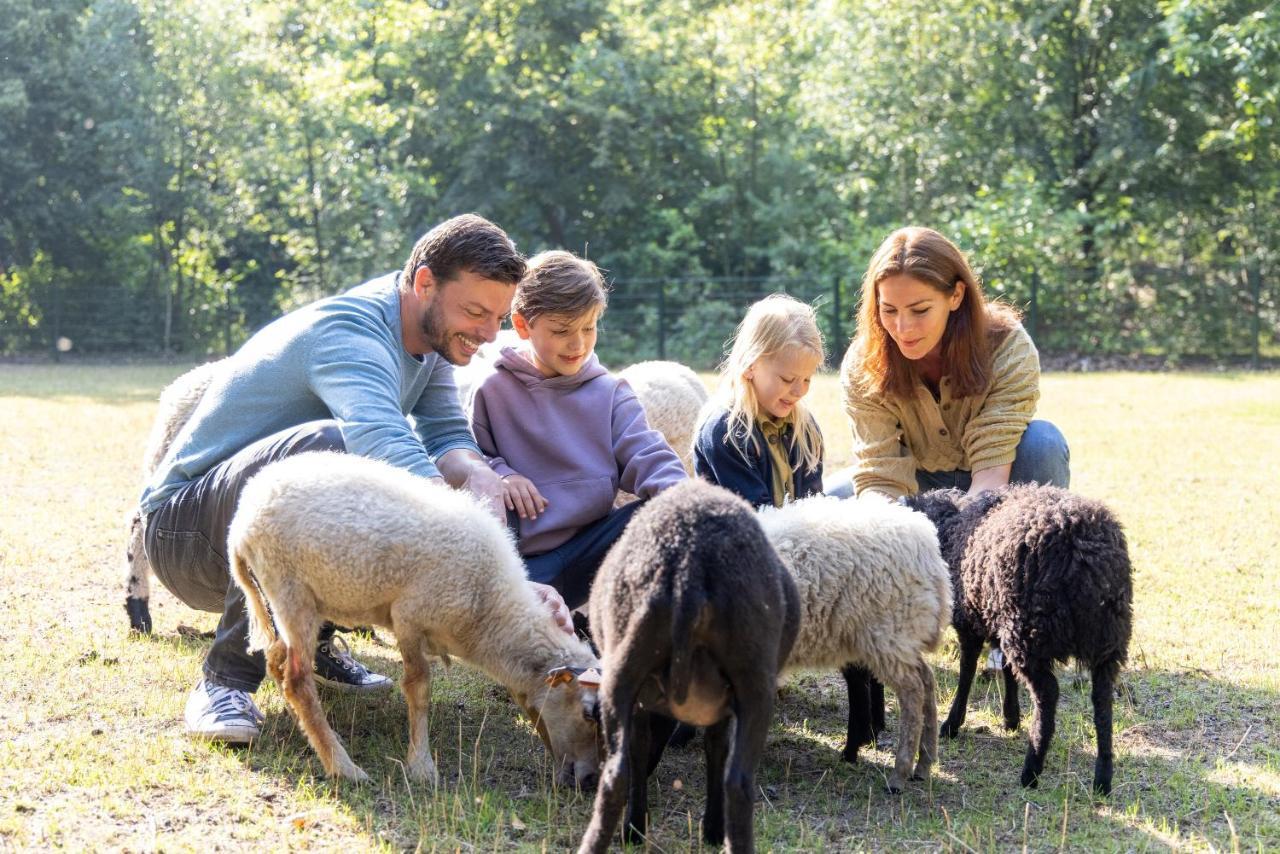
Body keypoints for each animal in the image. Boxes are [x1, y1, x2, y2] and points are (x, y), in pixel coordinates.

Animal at [231, 453, 604, 788]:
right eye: (589, 713)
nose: (589, 782)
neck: (489, 608)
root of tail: (241, 520)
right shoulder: (409, 617)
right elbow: (418, 687)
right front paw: (421, 765)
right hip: (291, 589)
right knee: (297, 681)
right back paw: (342, 765)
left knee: (277, 662)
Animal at [578, 481, 793, 854]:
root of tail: (688, 567)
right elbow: (715, 750)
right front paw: (711, 829)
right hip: (753, 679)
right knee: (738, 783)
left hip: (624, 672)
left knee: (616, 776)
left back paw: (621, 833)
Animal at [752, 494, 957, 793]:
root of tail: (926, 544)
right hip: (900, 635)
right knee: (927, 681)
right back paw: (924, 764)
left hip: (886, 633)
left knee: (913, 692)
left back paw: (900, 774)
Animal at [911, 483, 1131, 798]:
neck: (952, 528)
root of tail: (1082, 544)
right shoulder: (998, 619)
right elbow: (1006, 670)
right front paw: (1011, 717)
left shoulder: (970, 622)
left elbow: (966, 673)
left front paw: (952, 724)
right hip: (1106, 638)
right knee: (1102, 700)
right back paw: (1102, 779)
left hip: (1031, 629)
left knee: (1048, 694)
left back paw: (1032, 770)